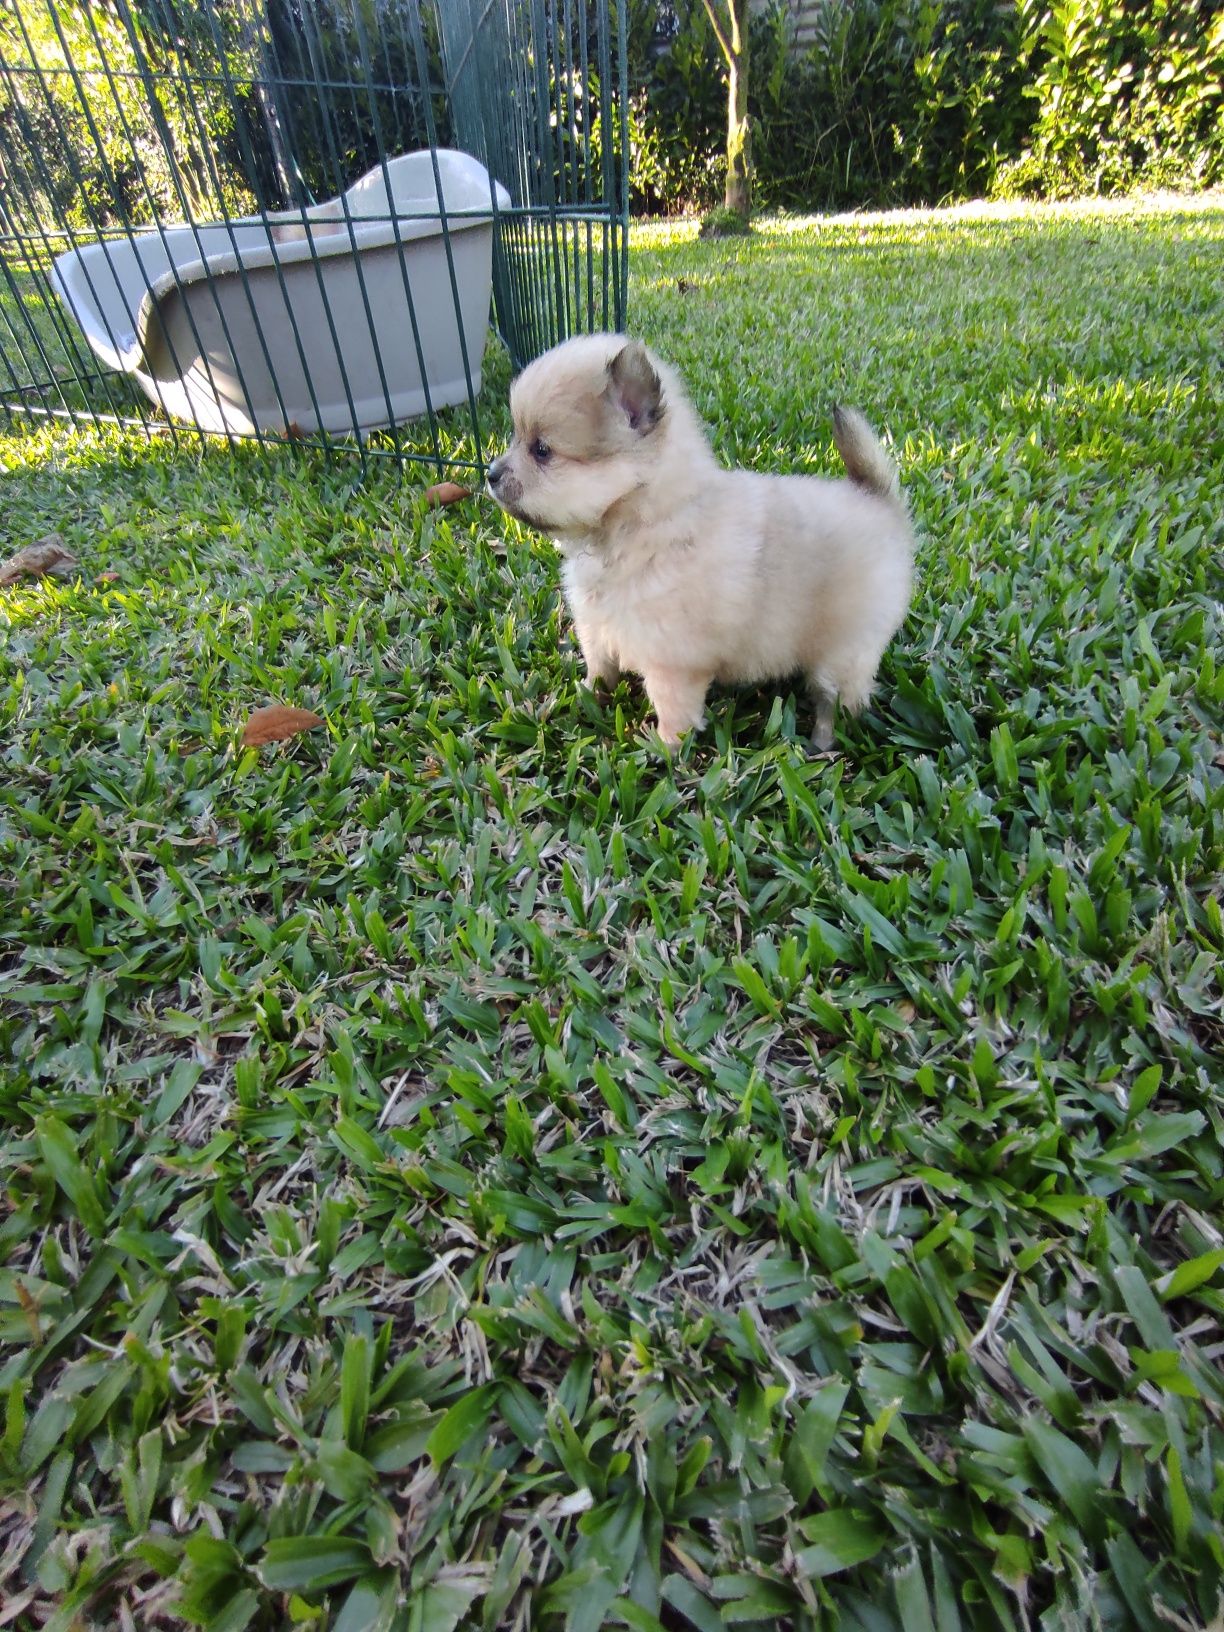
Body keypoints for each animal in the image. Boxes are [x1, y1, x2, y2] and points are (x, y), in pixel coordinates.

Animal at [483, 332, 913, 750]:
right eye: (517, 438)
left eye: (541, 451)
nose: (490, 473)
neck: (637, 526)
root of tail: (878, 501)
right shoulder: (598, 629)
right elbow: (600, 670)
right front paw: (584, 696)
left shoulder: (672, 662)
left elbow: (673, 709)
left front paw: (664, 748)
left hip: (843, 652)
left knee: (835, 700)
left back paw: (821, 740)